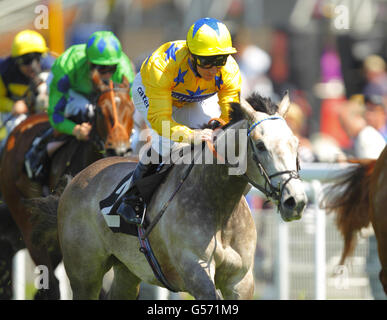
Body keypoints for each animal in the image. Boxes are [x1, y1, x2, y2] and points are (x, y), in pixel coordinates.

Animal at [56, 93, 308, 300]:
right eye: (260, 145)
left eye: (295, 143)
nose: (295, 201)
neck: (220, 207)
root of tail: (77, 178)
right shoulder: (196, 273)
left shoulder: (241, 281)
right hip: (84, 274)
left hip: (126, 270)